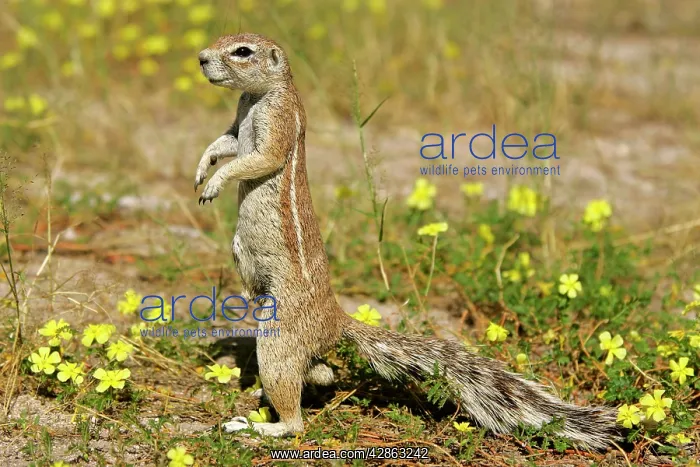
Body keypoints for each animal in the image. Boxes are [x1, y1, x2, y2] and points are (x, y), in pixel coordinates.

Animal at [193, 33, 619, 450]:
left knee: (297, 417)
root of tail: (335, 318)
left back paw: (257, 426)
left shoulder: (277, 122)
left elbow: (257, 158)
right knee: (322, 373)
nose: (200, 58)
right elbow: (225, 142)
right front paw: (202, 167)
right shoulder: (238, 122)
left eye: (242, 51)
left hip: (278, 338)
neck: (258, 96)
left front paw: (215, 182)